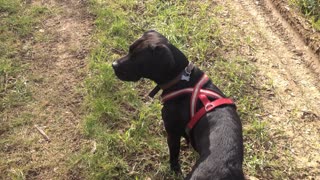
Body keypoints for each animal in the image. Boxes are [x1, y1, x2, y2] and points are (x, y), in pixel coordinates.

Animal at [112, 30, 242, 179]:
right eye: (129, 50)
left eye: (137, 60)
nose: (113, 64)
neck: (181, 79)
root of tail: (227, 169)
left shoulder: (172, 133)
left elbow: (174, 155)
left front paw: (174, 169)